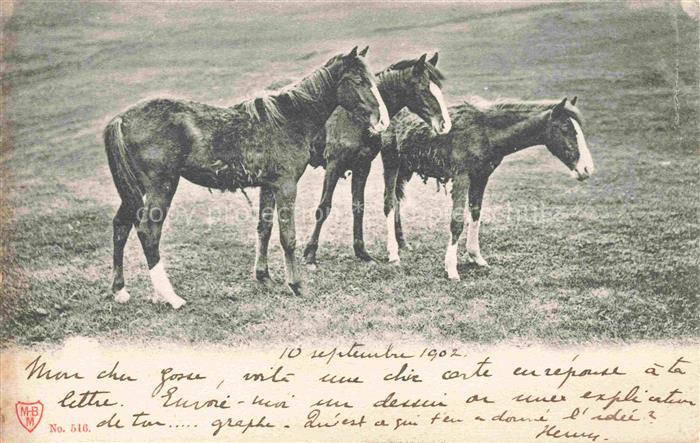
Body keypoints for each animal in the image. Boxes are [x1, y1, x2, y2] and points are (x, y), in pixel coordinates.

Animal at [104, 46, 390, 308]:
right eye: (358, 80)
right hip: (161, 187)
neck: (289, 119)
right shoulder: (286, 186)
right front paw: (297, 285)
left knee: (121, 225)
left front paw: (264, 277)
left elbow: (264, 228)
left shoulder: (269, 186)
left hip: (136, 190)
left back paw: (120, 290)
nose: (382, 122)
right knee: (148, 232)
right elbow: (288, 237)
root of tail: (121, 119)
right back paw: (171, 297)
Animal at [302, 52, 451, 266]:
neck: (355, 118)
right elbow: (324, 206)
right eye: (424, 89)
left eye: (439, 88)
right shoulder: (334, 165)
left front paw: (362, 252)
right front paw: (311, 254)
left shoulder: (362, 166)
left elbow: (359, 207)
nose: (445, 125)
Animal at [380, 96, 594, 280]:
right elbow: (457, 221)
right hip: (391, 163)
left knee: (397, 201)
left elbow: (475, 214)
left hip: (405, 169)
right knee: (389, 203)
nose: (587, 169)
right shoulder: (462, 176)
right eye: (565, 129)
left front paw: (476, 257)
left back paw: (402, 244)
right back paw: (393, 253)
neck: (484, 131)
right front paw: (451, 268)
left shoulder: (481, 177)